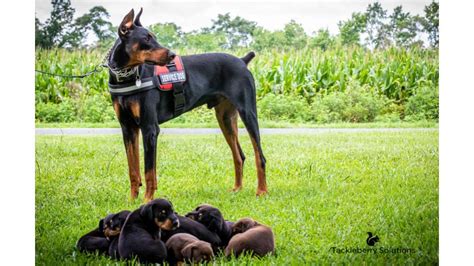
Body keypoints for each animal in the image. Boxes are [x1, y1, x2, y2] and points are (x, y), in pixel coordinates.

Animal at [109, 7, 268, 202]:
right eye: (146, 39)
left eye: (153, 36)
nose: (172, 55)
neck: (126, 76)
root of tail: (242, 60)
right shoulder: (128, 128)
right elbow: (133, 170)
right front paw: (132, 201)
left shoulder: (149, 128)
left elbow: (149, 171)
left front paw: (147, 201)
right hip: (225, 118)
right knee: (239, 155)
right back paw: (237, 188)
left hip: (248, 112)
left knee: (259, 156)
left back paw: (262, 191)